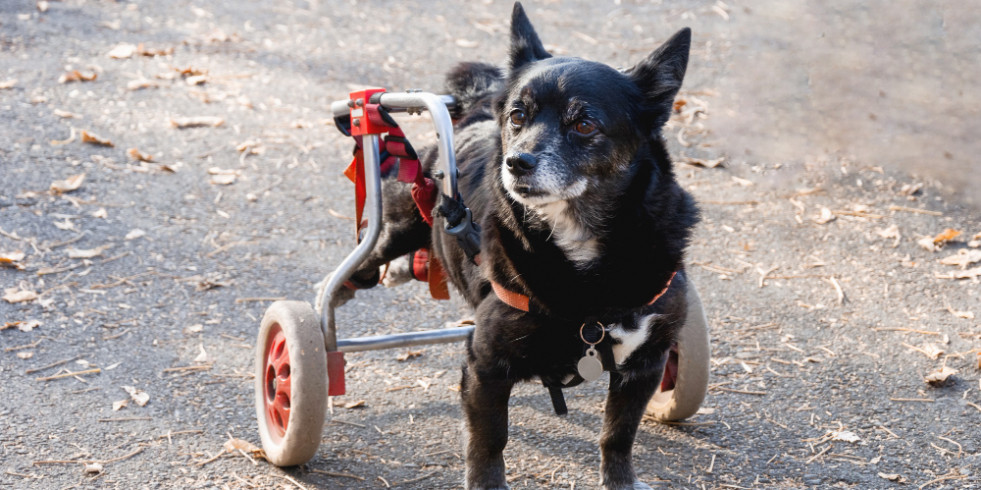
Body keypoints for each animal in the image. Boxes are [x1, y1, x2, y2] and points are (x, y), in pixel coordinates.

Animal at [334, 2, 696, 486]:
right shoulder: (484, 366)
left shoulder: (646, 363)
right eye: (518, 116)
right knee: (361, 263)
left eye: (584, 123)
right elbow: (489, 443)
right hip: (396, 228)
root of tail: (471, 113)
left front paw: (619, 480)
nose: (515, 162)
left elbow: (618, 435)